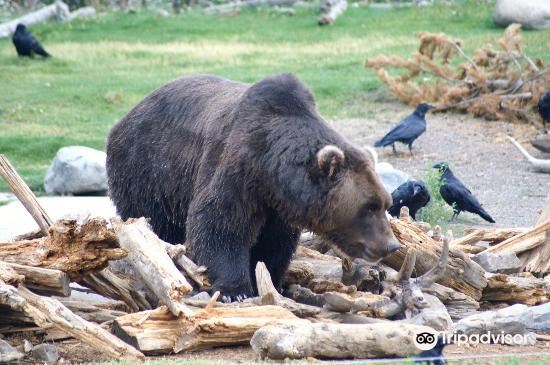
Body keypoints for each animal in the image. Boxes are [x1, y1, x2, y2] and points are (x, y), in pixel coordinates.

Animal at [108, 72, 402, 300]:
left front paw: (271, 282)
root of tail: (127, 115)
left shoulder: (278, 207)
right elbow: (218, 223)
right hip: (149, 171)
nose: (391, 245)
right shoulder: (237, 169)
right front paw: (234, 290)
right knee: (156, 223)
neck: (271, 172)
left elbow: (274, 243)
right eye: (369, 207)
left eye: (386, 202)